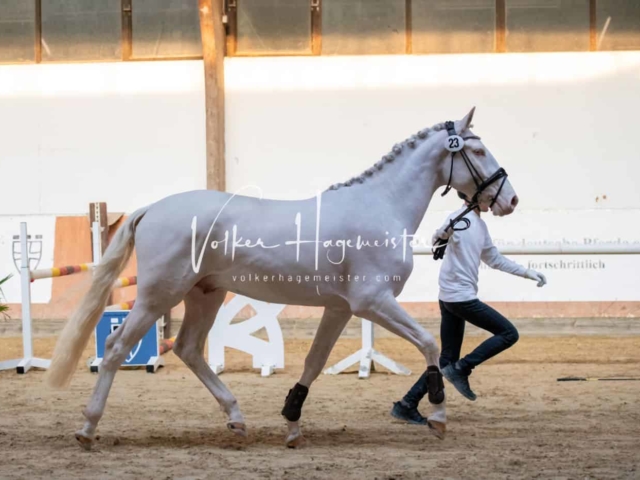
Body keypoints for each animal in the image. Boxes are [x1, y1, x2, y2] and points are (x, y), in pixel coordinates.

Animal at [46, 108, 516, 450]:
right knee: (116, 346)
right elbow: (430, 344)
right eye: (477, 151)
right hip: (157, 296)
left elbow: (314, 361)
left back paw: (237, 420)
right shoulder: (373, 302)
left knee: (188, 349)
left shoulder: (340, 308)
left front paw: (292, 422)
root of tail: (152, 208)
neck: (381, 205)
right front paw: (437, 417)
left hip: (205, 294)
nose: (509, 199)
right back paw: (87, 429)